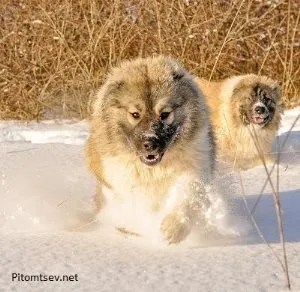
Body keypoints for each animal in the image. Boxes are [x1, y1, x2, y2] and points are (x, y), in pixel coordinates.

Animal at [85, 56, 214, 243]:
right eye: (135, 114)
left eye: (165, 114)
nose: (150, 143)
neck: (153, 170)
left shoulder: (195, 171)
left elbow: (189, 198)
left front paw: (174, 227)